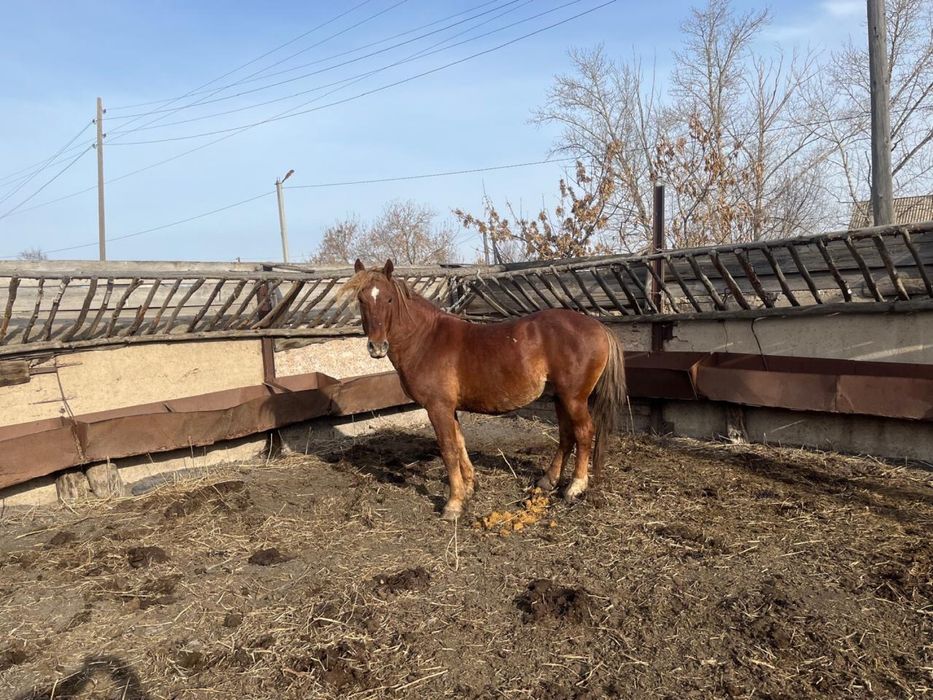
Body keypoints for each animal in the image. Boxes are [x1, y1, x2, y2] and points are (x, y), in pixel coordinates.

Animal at [342, 259, 627, 521]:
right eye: (361, 299)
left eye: (389, 299)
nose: (377, 347)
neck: (425, 339)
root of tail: (598, 326)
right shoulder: (450, 409)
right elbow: (460, 444)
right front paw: (469, 488)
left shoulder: (437, 408)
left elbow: (448, 449)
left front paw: (453, 504)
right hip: (561, 397)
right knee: (567, 435)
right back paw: (548, 480)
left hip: (573, 398)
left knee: (583, 432)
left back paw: (575, 487)